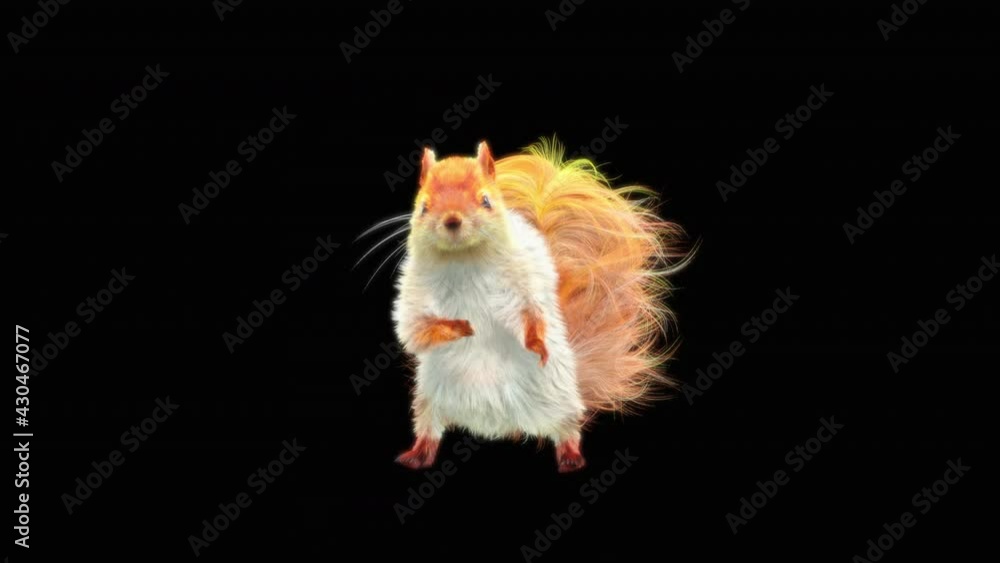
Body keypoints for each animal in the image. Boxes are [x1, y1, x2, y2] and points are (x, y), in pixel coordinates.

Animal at [383, 138, 688, 472]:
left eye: (486, 200)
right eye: (423, 206)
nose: (451, 220)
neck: (464, 259)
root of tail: (500, 425)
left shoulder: (523, 280)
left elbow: (529, 311)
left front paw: (536, 343)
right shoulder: (414, 289)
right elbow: (414, 328)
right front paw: (459, 328)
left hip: (558, 401)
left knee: (567, 429)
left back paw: (570, 456)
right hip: (429, 401)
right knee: (429, 429)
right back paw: (419, 453)